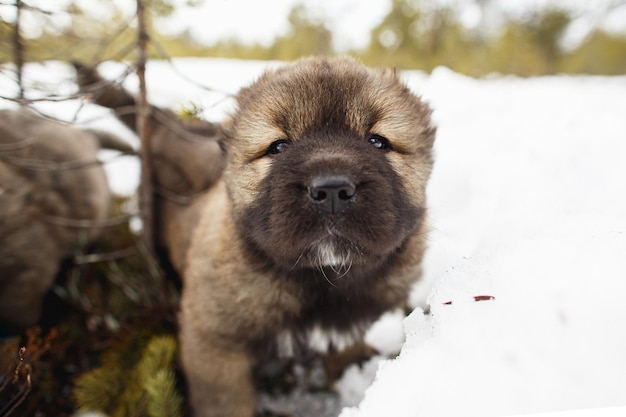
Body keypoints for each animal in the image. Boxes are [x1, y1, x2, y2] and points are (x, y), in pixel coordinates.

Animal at [179, 57, 434, 416]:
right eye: (278, 146)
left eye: (378, 142)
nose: (332, 190)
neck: (321, 278)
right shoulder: (214, 347)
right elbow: (226, 404)